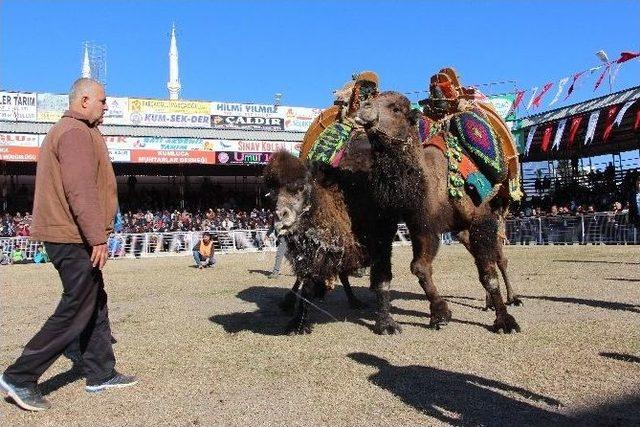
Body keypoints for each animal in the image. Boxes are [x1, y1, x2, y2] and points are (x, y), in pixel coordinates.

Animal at [358, 92, 524, 336]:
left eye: (396, 108)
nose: (364, 107)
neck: (431, 184)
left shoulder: (480, 219)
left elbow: (488, 273)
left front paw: (505, 322)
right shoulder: (422, 226)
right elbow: (418, 267)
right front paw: (440, 314)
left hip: (496, 216)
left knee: (498, 259)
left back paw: (513, 298)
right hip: (461, 230)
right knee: (479, 255)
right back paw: (489, 303)